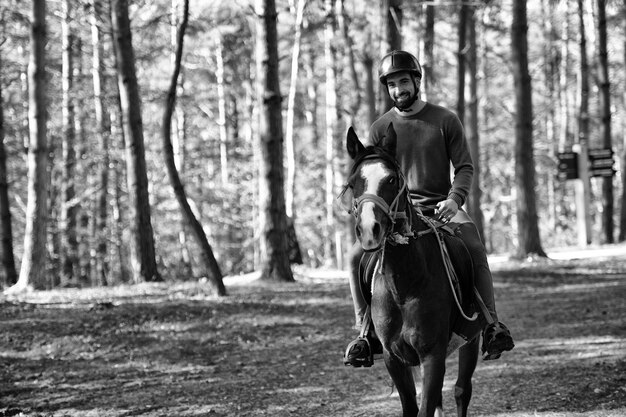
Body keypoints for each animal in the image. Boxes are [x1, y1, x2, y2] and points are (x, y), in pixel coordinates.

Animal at [342, 124, 482, 416]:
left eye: (392, 180)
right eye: (353, 183)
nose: (370, 230)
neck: (404, 286)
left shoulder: (433, 355)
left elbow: (427, 407)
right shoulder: (394, 358)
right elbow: (411, 406)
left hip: (471, 341)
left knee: (462, 391)